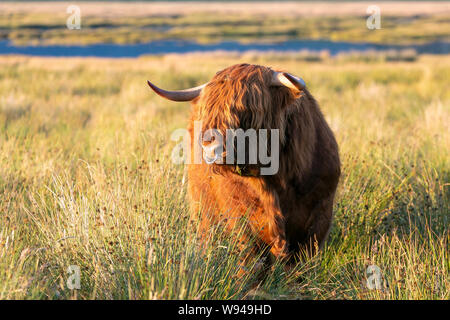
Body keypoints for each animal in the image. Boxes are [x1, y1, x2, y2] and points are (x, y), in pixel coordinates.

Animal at [149, 63, 342, 266]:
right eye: (208, 110)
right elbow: (249, 252)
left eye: (246, 109)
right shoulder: (239, 211)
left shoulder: (321, 210)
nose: (209, 146)